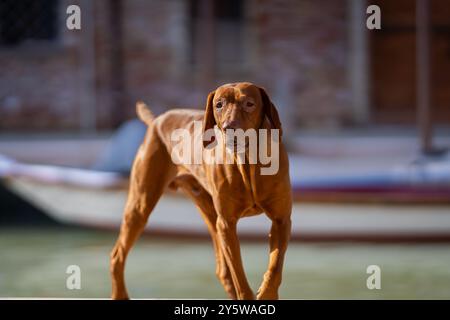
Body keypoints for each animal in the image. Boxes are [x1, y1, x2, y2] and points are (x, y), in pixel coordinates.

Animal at [110, 81, 292, 298]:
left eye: (249, 103)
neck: (248, 163)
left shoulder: (281, 220)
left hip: (209, 213)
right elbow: (240, 277)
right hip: (140, 206)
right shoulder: (227, 224)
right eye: (219, 105)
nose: (229, 129)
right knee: (117, 255)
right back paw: (119, 293)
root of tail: (157, 120)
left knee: (223, 271)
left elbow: (275, 266)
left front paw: (267, 293)